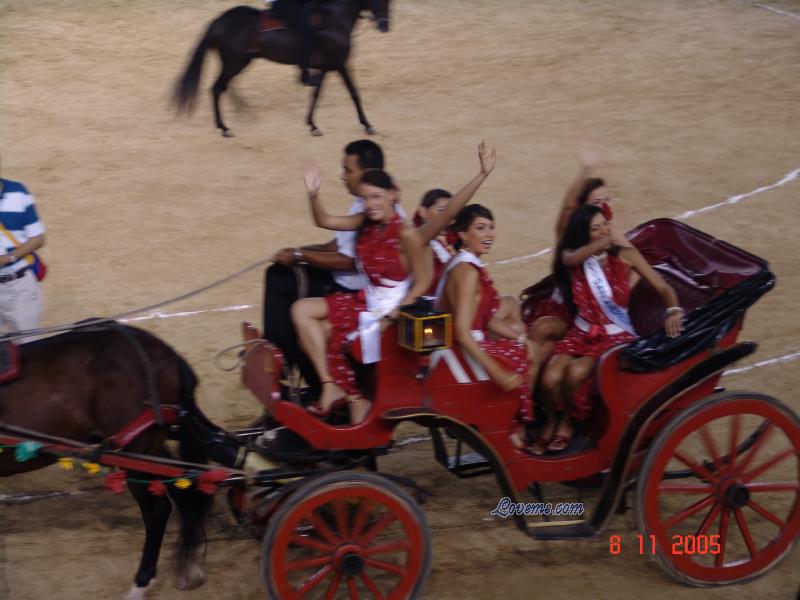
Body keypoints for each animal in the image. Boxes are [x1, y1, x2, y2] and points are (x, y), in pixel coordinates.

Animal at [0, 324, 216, 600]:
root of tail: (167, 354)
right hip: (150, 447)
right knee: (185, 490)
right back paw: (192, 564)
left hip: (134, 451)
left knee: (157, 511)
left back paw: (140, 583)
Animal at [174, 0, 390, 137]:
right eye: (381, 0)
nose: (384, 26)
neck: (334, 21)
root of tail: (219, 21)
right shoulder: (340, 64)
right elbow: (354, 93)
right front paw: (368, 125)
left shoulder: (325, 67)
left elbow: (316, 95)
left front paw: (312, 125)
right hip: (233, 62)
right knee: (217, 88)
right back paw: (225, 128)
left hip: (242, 61)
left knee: (225, 87)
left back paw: (240, 112)